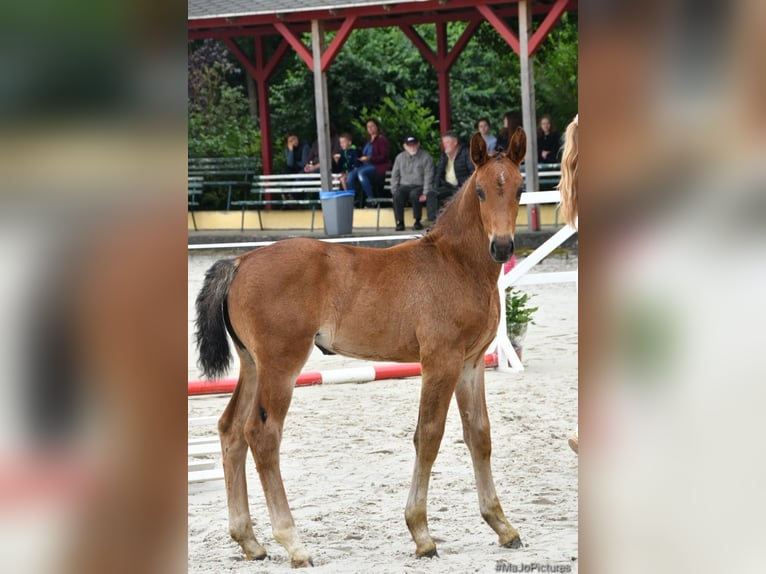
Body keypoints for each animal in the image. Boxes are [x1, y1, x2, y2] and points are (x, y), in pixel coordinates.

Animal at [195, 129, 528, 568]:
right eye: (480, 191)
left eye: (520, 189)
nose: (502, 248)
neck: (454, 263)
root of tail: (241, 261)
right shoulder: (440, 361)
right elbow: (429, 436)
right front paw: (422, 534)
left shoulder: (471, 364)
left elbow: (479, 435)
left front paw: (502, 526)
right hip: (281, 364)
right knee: (262, 434)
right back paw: (294, 544)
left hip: (252, 364)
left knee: (231, 429)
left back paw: (250, 541)